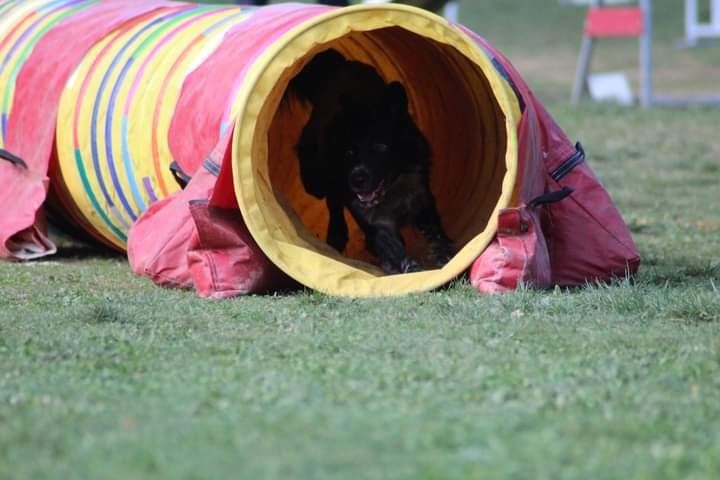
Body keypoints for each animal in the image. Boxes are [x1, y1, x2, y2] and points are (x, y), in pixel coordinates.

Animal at [286, 49, 450, 274]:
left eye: (381, 147)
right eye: (349, 152)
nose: (357, 180)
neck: (391, 191)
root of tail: (339, 65)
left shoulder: (421, 197)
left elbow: (436, 232)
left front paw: (447, 257)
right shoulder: (374, 220)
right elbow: (391, 246)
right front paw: (409, 267)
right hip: (315, 180)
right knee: (332, 199)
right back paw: (337, 233)